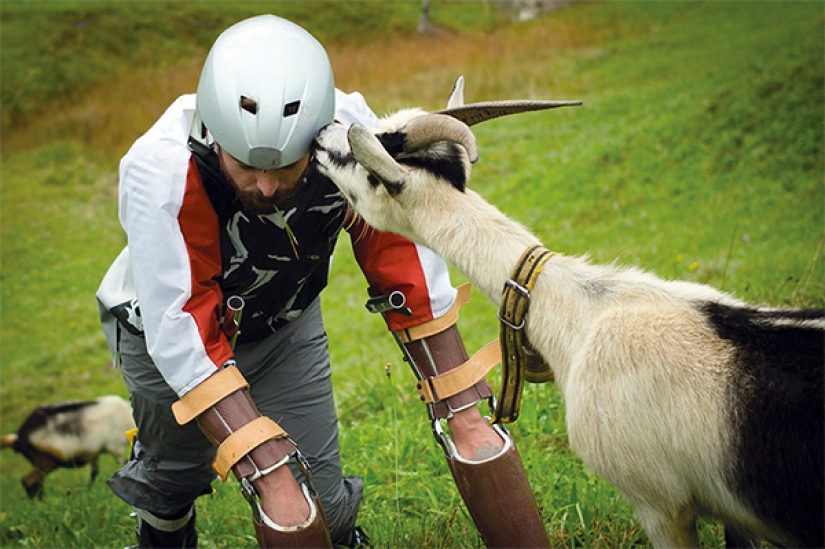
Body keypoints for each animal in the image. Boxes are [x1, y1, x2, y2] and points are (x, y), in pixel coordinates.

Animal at [1, 395, 135, 498]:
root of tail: (19, 437)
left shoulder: (94, 454)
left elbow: (93, 473)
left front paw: (88, 490)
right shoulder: (116, 447)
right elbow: (123, 465)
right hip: (46, 461)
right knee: (28, 480)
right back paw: (39, 501)